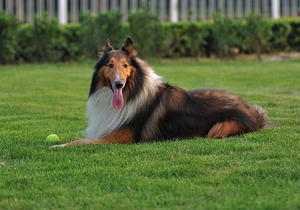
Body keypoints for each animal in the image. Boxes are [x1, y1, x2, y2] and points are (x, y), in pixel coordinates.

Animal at [52, 37, 268, 147]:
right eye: (110, 65)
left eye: (125, 65)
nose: (119, 84)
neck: (131, 92)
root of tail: (252, 111)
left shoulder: (119, 138)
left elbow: (78, 142)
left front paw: (57, 145)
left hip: (219, 128)